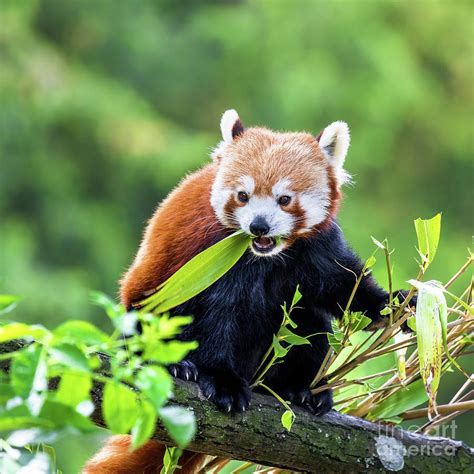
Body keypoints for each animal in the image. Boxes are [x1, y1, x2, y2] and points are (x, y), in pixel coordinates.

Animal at [84, 109, 414, 472]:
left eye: (284, 199)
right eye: (243, 195)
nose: (258, 226)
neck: (268, 257)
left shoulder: (318, 247)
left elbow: (343, 287)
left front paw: (395, 304)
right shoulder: (213, 257)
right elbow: (219, 318)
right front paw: (223, 381)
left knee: (310, 323)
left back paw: (298, 388)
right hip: (145, 305)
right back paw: (177, 365)